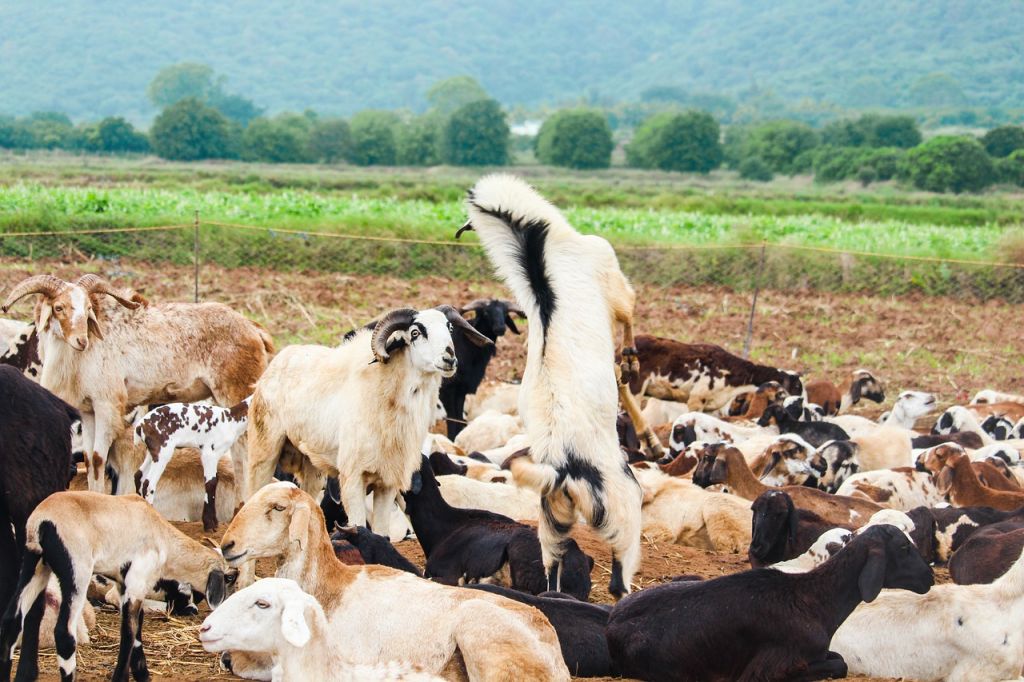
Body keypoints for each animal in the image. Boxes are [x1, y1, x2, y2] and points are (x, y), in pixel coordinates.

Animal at [438, 296, 524, 436]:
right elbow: (452, 420)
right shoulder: (447, 390)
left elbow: (458, 418)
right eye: (486, 313)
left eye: (505, 313)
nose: (500, 328)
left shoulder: (462, 390)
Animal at [462, 173, 643, 598]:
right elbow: (628, 312)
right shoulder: (610, 275)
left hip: (551, 515)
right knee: (620, 574)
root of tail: (562, 470)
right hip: (622, 503)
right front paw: (629, 360)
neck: (538, 252)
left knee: (551, 564)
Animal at [606, 522, 937, 679]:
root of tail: (612, 625)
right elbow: (838, 664)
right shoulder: (771, 669)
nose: (930, 578)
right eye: (904, 548)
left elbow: (837, 658)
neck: (817, 601)